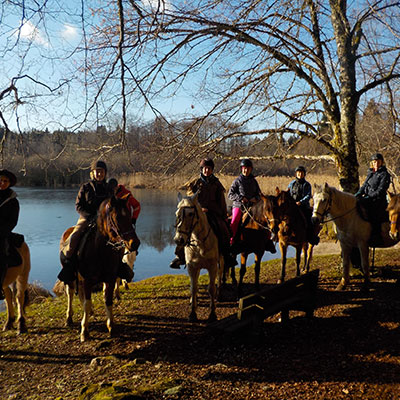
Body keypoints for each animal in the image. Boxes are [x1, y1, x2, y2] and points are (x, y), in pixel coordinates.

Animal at [60, 196, 140, 340]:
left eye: (129, 215)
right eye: (116, 217)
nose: (134, 243)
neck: (99, 249)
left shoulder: (110, 278)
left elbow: (107, 300)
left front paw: (111, 326)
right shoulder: (87, 280)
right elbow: (87, 302)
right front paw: (84, 331)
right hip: (71, 278)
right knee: (71, 293)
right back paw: (69, 318)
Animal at [173, 193, 223, 322]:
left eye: (191, 214)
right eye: (177, 213)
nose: (178, 240)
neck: (200, 243)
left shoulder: (212, 267)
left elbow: (211, 289)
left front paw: (212, 314)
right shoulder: (192, 267)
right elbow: (193, 288)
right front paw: (192, 313)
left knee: (221, 274)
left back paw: (219, 293)